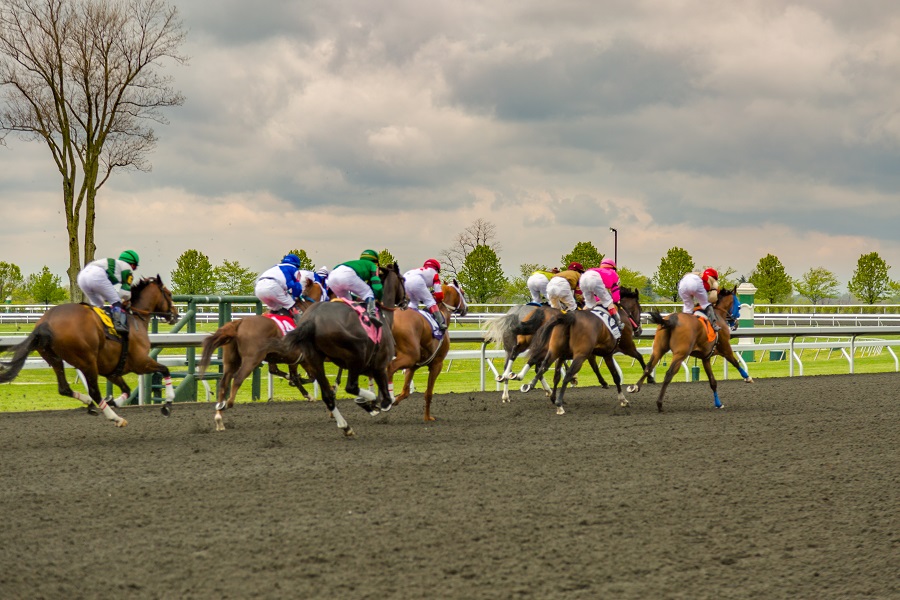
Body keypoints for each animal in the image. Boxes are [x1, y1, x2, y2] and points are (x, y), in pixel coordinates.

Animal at [0, 276, 180, 426]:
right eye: (169, 294)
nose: (175, 314)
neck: (135, 318)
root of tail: (45, 323)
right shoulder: (140, 363)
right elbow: (165, 369)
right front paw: (168, 404)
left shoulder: (113, 371)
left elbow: (127, 390)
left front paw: (113, 401)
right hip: (88, 362)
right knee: (94, 391)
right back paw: (115, 417)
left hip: (54, 358)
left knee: (64, 388)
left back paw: (90, 404)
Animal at [198, 276, 326, 432]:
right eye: (324, 289)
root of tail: (239, 323)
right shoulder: (300, 358)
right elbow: (308, 377)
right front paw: (302, 386)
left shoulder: (283, 358)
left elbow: (279, 371)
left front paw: (301, 387)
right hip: (251, 359)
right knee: (237, 378)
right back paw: (228, 404)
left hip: (231, 360)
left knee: (224, 382)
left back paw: (219, 417)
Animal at [276, 262, 406, 436]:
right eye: (403, 279)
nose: (406, 300)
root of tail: (312, 319)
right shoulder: (379, 365)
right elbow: (384, 397)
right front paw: (374, 403)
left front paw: (366, 403)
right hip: (356, 356)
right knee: (350, 387)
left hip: (315, 360)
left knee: (326, 394)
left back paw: (345, 425)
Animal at [388, 278, 468, 420]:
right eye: (463, 292)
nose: (466, 308)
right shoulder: (437, 364)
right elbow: (428, 393)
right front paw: (427, 417)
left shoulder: (413, 366)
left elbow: (405, 391)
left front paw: (396, 400)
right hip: (409, 356)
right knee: (390, 367)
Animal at [628, 288, 756, 412]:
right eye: (739, 306)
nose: (736, 323)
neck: (718, 314)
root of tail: (670, 320)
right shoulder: (725, 349)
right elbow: (735, 362)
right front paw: (747, 377)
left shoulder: (706, 357)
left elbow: (713, 382)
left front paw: (718, 403)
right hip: (681, 353)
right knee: (669, 374)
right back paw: (659, 404)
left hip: (658, 349)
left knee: (648, 367)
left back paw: (635, 387)